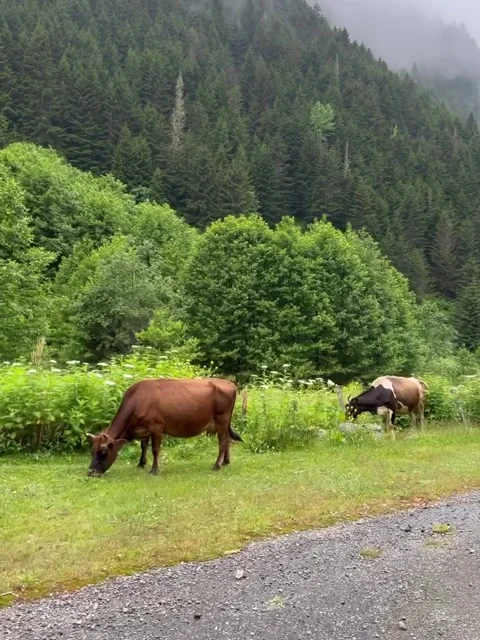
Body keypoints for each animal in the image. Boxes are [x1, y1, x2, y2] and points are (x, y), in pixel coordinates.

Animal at [86, 377, 242, 477]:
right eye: (92, 451)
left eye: (103, 451)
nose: (90, 472)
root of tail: (228, 382)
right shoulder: (145, 429)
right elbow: (143, 446)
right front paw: (141, 464)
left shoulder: (156, 427)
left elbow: (155, 449)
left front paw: (154, 470)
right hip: (224, 423)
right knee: (228, 439)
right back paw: (226, 462)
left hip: (221, 419)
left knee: (222, 442)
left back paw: (217, 465)